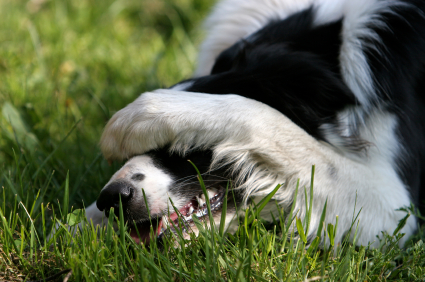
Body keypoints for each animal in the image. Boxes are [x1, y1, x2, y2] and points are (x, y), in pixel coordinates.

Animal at [82, 0, 424, 247]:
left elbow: (266, 119)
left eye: (185, 144)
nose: (112, 199)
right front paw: (82, 225)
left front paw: (139, 116)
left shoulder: (394, 206)